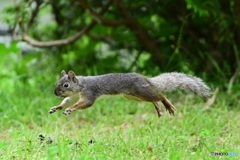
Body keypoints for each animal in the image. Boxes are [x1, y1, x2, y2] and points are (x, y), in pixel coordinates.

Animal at [48, 70, 210, 117]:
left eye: (66, 84)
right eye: (57, 82)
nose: (55, 92)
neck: (81, 85)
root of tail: (145, 78)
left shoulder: (89, 92)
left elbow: (85, 103)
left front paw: (70, 109)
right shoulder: (73, 96)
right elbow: (67, 101)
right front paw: (57, 107)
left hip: (140, 91)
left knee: (160, 96)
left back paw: (167, 105)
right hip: (134, 96)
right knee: (153, 99)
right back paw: (158, 108)